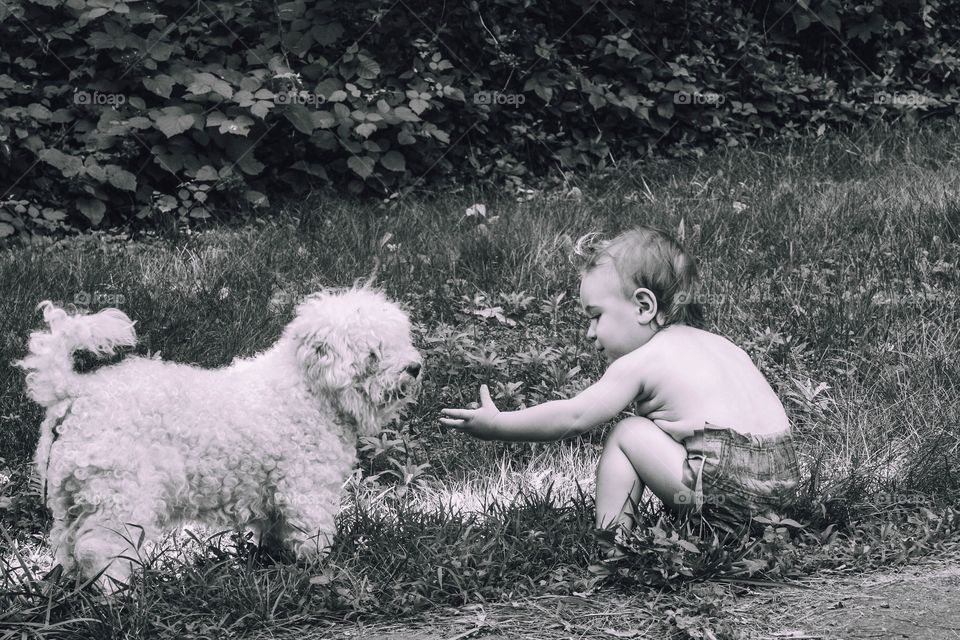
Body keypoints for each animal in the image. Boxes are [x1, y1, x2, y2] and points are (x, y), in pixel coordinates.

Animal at [15, 288, 420, 592]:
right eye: (373, 353)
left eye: (401, 341)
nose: (414, 367)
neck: (306, 390)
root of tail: (73, 390)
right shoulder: (306, 490)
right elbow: (312, 537)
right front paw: (319, 570)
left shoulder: (275, 497)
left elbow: (276, 535)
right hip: (121, 498)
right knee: (100, 550)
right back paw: (119, 595)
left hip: (70, 499)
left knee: (67, 546)